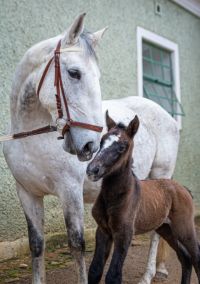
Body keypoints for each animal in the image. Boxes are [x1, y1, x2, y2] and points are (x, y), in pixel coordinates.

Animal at [2, 13, 179, 284]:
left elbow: (76, 244)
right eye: (74, 73)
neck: (32, 139)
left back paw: (148, 275)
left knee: (156, 232)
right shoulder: (27, 193)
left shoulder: (70, 191)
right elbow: (36, 245)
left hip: (161, 176)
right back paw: (159, 268)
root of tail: (168, 117)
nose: (89, 146)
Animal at [87, 112, 200, 284]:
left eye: (122, 146)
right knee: (185, 259)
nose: (93, 170)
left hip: (184, 228)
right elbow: (95, 270)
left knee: (196, 257)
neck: (114, 197)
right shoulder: (103, 231)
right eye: (101, 142)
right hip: (166, 229)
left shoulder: (124, 234)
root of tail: (183, 188)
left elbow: (113, 275)